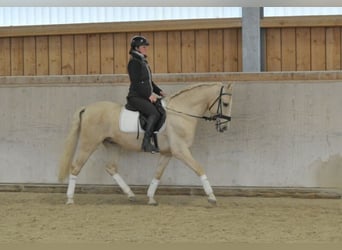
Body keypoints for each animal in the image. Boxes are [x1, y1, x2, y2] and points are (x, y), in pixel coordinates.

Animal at [58, 82, 234, 205]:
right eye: (225, 104)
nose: (224, 127)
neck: (181, 113)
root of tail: (87, 108)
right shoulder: (180, 151)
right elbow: (199, 169)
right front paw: (212, 197)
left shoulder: (167, 153)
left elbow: (158, 174)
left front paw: (150, 198)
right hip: (88, 143)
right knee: (75, 167)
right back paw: (70, 199)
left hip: (112, 144)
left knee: (111, 167)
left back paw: (130, 194)